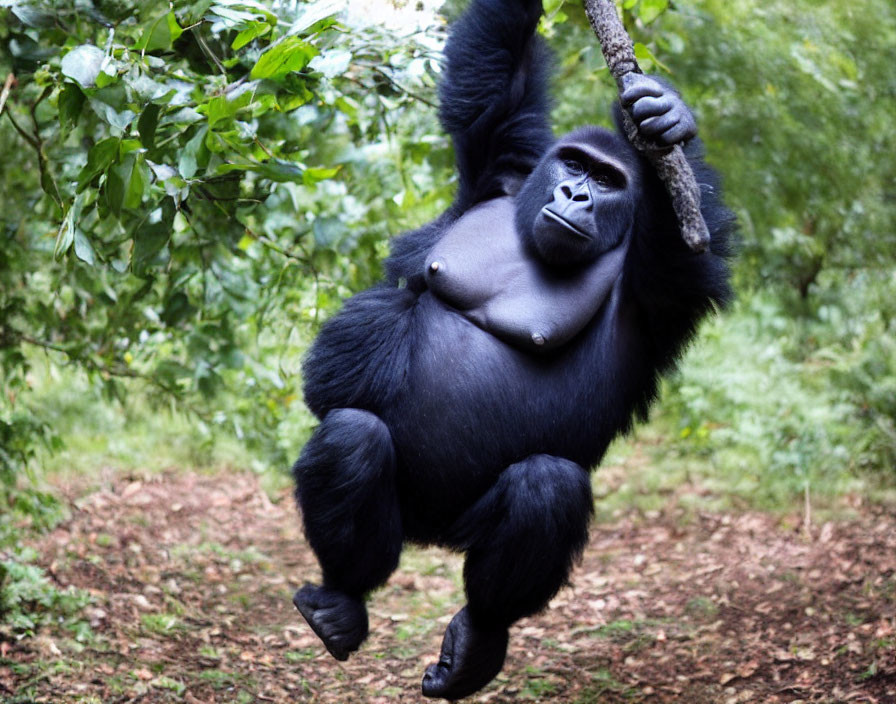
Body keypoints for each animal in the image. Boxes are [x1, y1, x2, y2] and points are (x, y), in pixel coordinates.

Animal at [294, 0, 736, 700]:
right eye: (573, 166)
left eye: (607, 180)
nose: (576, 196)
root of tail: (429, 534)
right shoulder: (503, 165)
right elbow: (496, 82)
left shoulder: (660, 287)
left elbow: (686, 240)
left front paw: (668, 121)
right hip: (406, 516)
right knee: (352, 437)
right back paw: (343, 596)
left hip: (464, 527)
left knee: (547, 487)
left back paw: (479, 634)